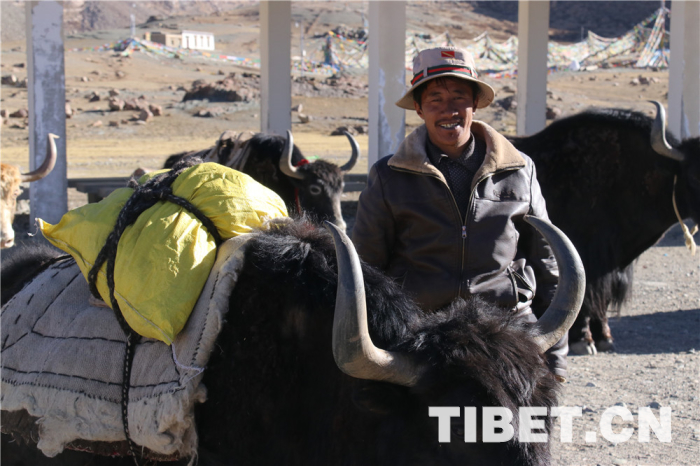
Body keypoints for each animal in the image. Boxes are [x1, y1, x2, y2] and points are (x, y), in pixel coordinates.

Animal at [511, 101, 700, 355]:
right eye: (694, 176)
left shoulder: (610, 265)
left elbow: (602, 299)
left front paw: (605, 337)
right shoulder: (587, 255)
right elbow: (584, 297)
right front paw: (584, 340)